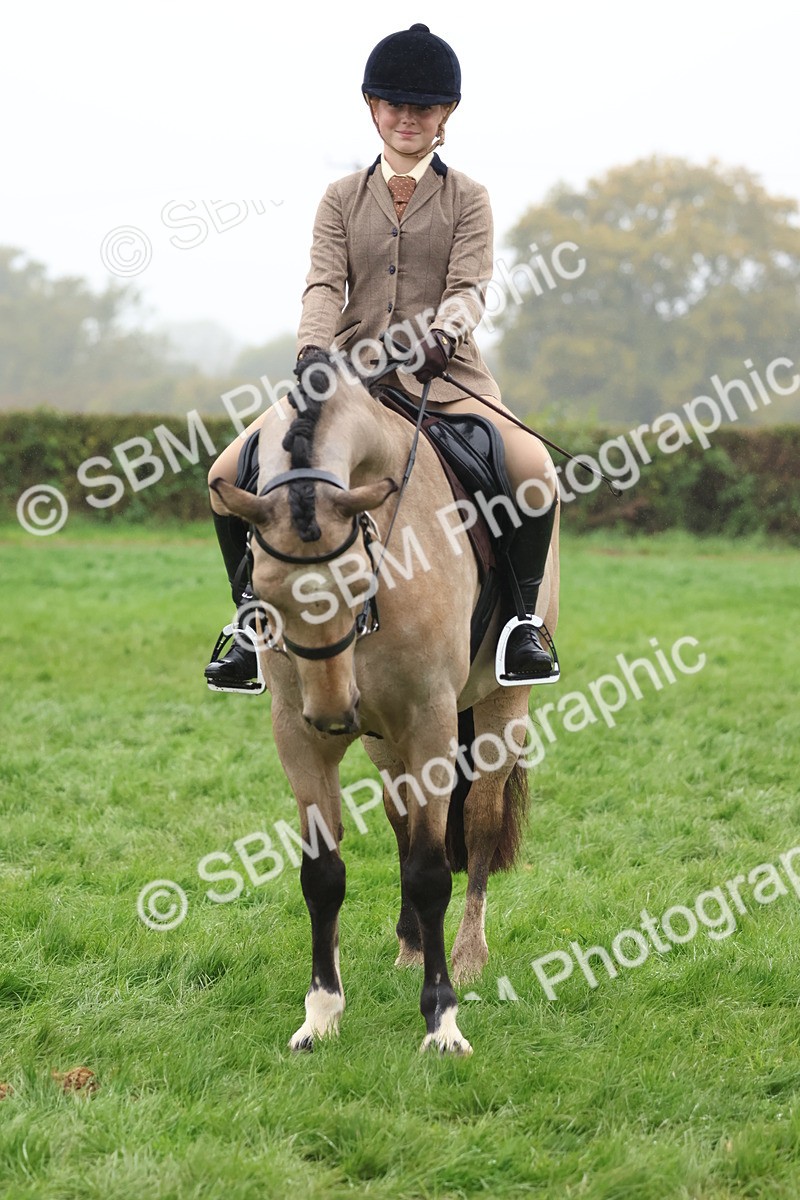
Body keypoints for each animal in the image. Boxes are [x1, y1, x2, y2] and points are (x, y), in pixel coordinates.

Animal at [212, 352, 560, 1056]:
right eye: (261, 587)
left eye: (356, 581)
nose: (332, 713)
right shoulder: (298, 736)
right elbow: (323, 874)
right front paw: (320, 1016)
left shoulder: (429, 723)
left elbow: (432, 871)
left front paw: (443, 1022)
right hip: (381, 740)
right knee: (402, 818)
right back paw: (409, 949)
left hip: (499, 709)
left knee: (478, 824)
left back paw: (468, 955)